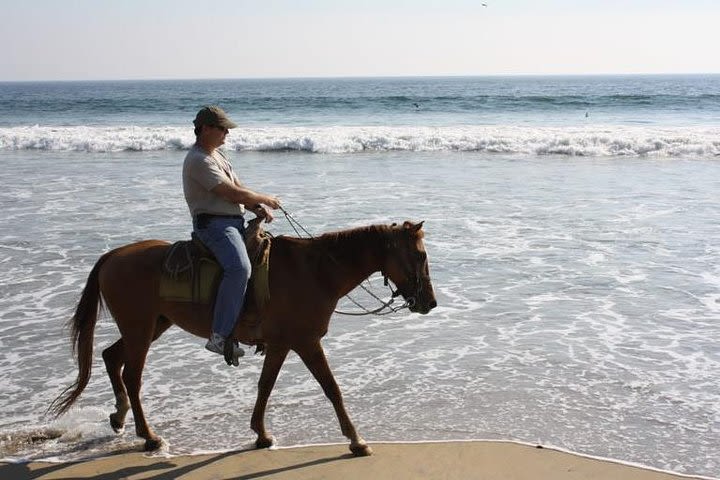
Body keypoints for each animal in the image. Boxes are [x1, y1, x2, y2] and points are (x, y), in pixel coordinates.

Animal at [49, 219, 438, 456]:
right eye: (420, 255)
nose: (430, 303)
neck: (315, 271)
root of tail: (113, 256)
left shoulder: (282, 344)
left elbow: (266, 386)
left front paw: (261, 434)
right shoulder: (305, 342)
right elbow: (331, 388)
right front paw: (356, 440)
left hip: (152, 325)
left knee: (111, 357)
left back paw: (119, 417)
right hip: (140, 329)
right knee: (131, 375)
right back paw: (149, 436)